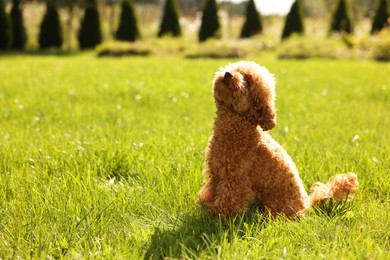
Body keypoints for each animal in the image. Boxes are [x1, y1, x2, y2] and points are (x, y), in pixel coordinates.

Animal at [200, 61, 358, 217]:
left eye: (248, 82)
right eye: (234, 69)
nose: (228, 74)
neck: (236, 126)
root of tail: (307, 204)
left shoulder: (234, 178)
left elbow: (229, 200)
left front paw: (218, 214)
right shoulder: (216, 173)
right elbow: (210, 191)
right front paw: (205, 205)